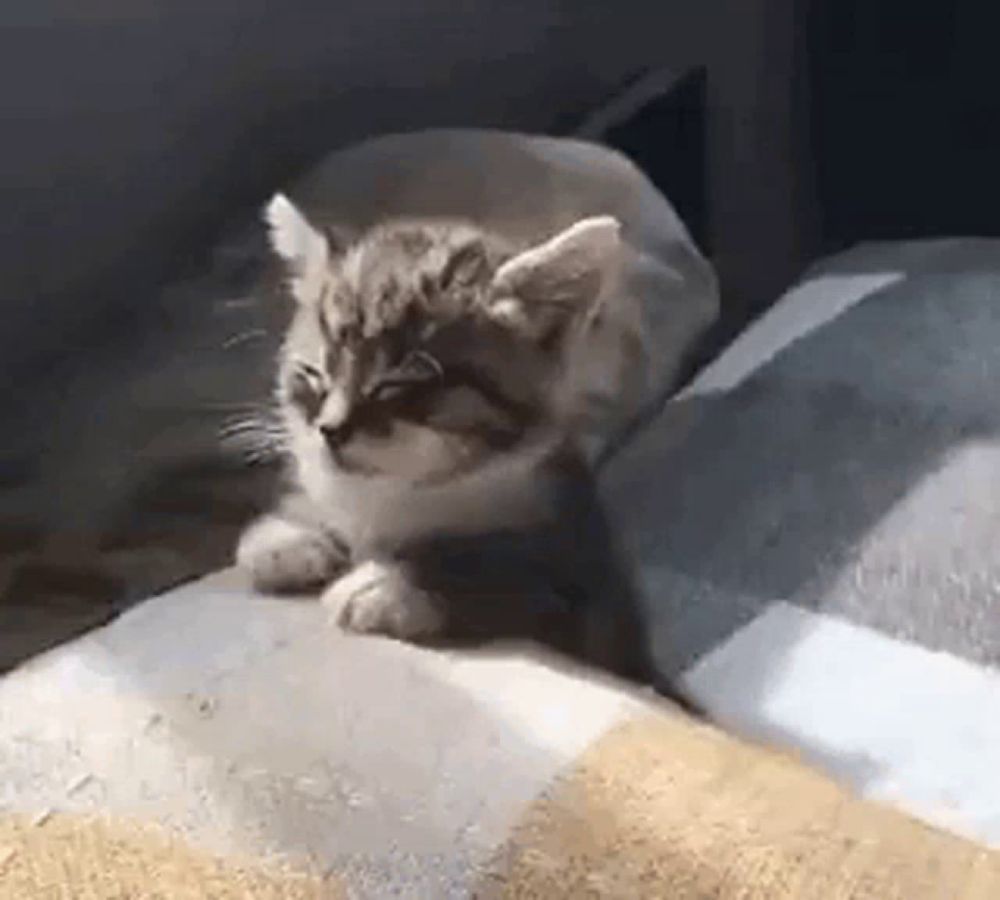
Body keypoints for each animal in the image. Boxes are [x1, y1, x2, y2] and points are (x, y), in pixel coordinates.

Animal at [236, 193, 648, 680]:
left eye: (396, 381)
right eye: (314, 372)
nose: (331, 429)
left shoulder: (580, 593)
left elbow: (498, 572)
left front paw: (391, 585)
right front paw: (291, 534)